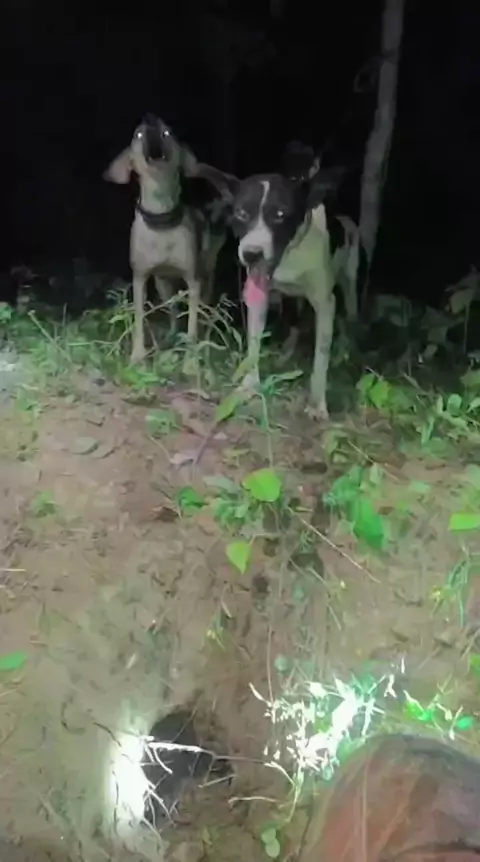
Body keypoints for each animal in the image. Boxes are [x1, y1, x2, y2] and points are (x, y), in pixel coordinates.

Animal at [103, 114, 229, 367]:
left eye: (167, 131)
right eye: (138, 133)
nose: (150, 118)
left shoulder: (193, 281)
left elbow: (192, 325)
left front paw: (191, 362)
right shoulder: (140, 278)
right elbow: (139, 320)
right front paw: (138, 356)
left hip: (207, 273)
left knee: (204, 309)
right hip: (163, 285)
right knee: (172, 310)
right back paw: (171, 335)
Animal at [207, 166, 361, 419]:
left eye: (280, 214)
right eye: (241, 213)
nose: (251, 254)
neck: (291, 256)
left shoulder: (325, 303)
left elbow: (321, 356)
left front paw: (317, 404)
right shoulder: (260, 297)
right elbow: (254, 345)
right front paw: (249, 386)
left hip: (350, 284)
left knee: (350, 316)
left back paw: (345, 351)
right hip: (292, 298)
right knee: (294, 321)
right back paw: (285, 355)